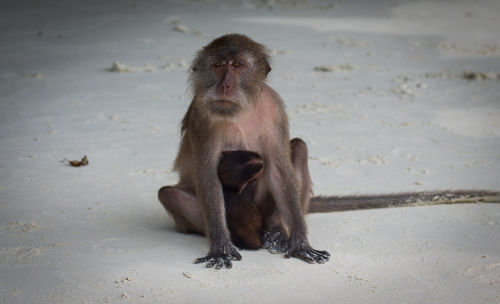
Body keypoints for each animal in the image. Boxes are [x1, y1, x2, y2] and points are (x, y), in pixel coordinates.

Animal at [159, 34, 500, 270]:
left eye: (238, 66)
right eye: (218, 66)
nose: (226, 85)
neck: (239, 111)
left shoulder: (274, 108)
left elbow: (280, 169)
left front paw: (299, 242)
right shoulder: (202, 116)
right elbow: (206, 175)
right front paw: (220, 245)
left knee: (296, 148)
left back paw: (274, 230)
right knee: (169, 193)